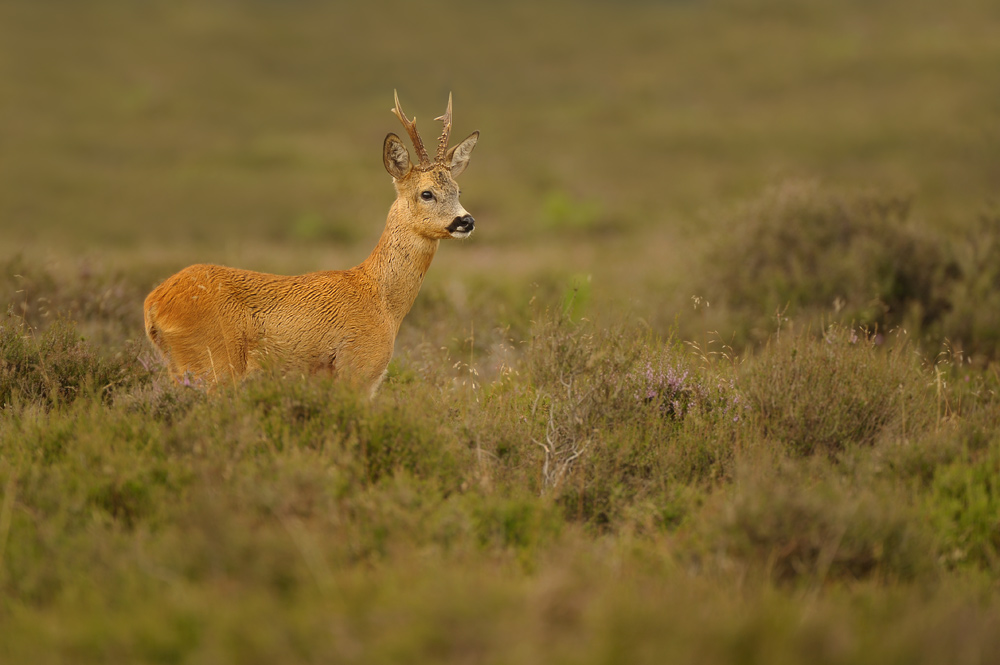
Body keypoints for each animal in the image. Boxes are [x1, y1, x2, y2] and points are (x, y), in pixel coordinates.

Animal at [144, 92, 480, 394]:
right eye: (426, 193)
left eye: (458, 191)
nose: (466, 221)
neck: (382, 300)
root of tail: (153, 305)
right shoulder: (357, 367)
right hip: (212, 364)